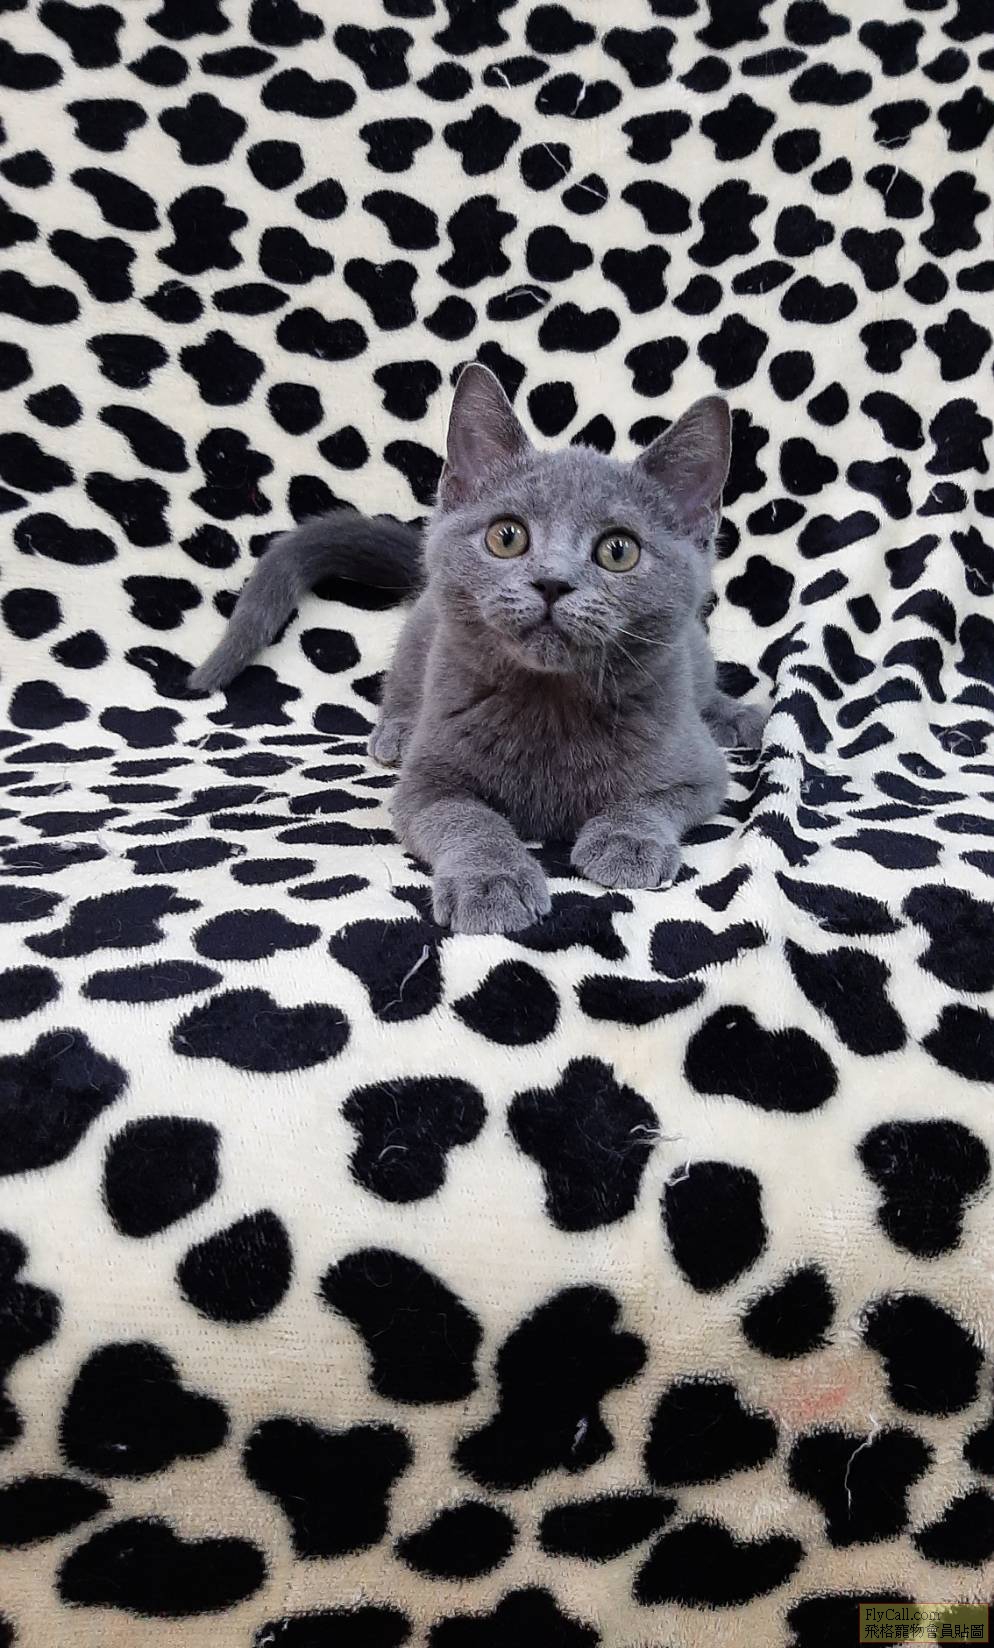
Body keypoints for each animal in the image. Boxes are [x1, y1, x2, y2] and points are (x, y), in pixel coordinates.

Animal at [192, 363, 764, 933]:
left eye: (618, 551)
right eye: (507, 537)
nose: (552, 581)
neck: (549, 708)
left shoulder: (702, 773)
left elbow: (655, 799)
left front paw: (628, 840)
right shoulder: (424, 788)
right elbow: (467, 819)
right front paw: (493, 882)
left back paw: (737, 716)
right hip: (423, 631)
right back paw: (398, 730)